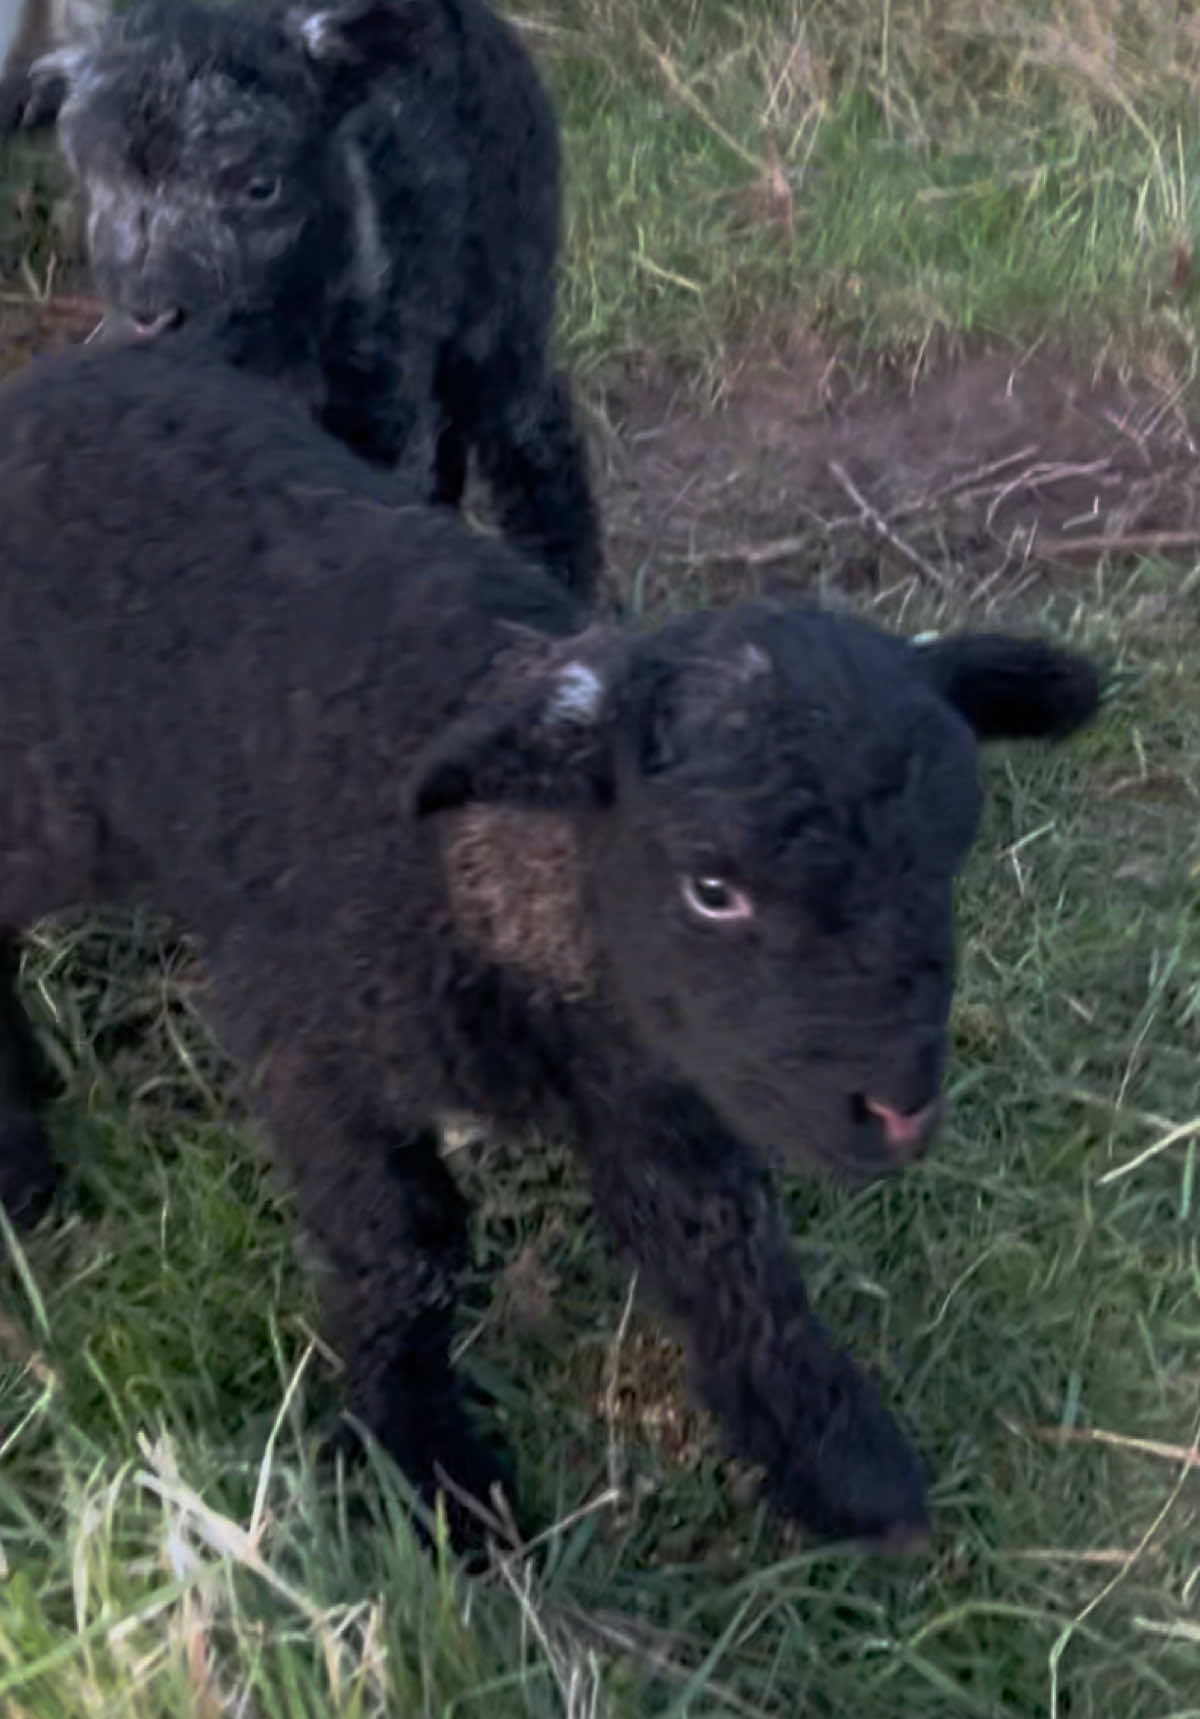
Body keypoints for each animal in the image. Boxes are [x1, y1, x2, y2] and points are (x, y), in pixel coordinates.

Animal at [0, 336, 1101, 1555]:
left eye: (948, 856)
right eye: (711, 888)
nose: (900, 1109)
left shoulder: (660, 1084)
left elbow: (729, 1249)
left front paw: (836, 1458)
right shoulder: (309, 1045)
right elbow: (403, 1247)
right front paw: (429, 1468)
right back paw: (16, 1157)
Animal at [28, 0, 602, 598]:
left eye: (262, 186)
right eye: (101, 187)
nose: (151, 312)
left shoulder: (379, 407)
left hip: (504, 283)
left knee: (532, 428)